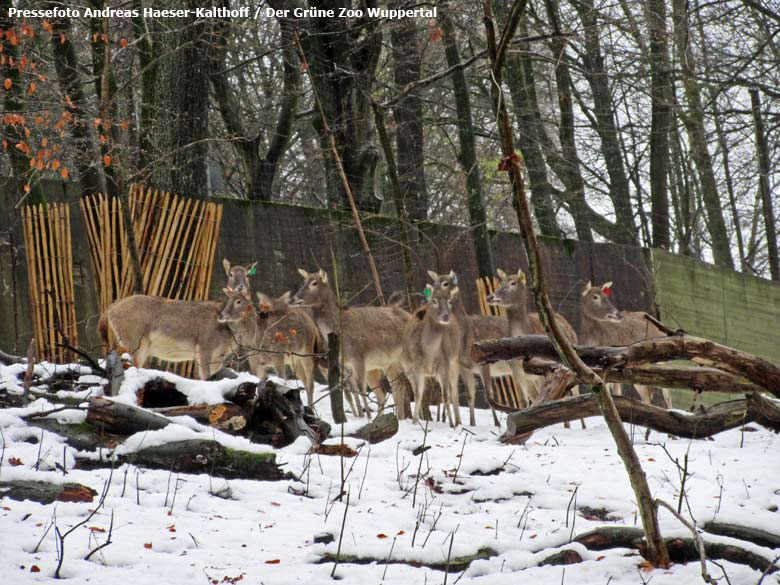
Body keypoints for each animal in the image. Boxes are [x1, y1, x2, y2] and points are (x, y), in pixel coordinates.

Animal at [288, 268, 408, 416]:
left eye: (314, 283)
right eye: (303, 282)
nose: (293, 299)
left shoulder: (358, 358)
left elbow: (361, 390)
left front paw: (367, 416)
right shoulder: (345, 364)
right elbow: (354, 390)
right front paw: (362, 416)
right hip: (387, 363)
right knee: (394, 387)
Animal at [402, 282, 464, 424]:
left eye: (449, 300)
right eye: (434, 300)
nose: (446, 316)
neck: (429, 354)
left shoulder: (444, 364)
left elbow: (446, 396)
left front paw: (452, 425)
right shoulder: (416, 366)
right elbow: (418, 394)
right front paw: (414, 422)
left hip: (455, 362)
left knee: (454, 392)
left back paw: (458, 422)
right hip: (407, 369)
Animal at [488, 268, 580, 406]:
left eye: (513, 283)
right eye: (500, 282)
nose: (490, 297)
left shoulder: (544, 373)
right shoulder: (520, 375)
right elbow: (527, 402)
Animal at [580, 280, 672, 408]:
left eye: (607, 297)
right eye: (595, 297)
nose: (618, 314)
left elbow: (615, 393)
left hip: (660, 359)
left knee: (665, 392)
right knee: (647, 393)